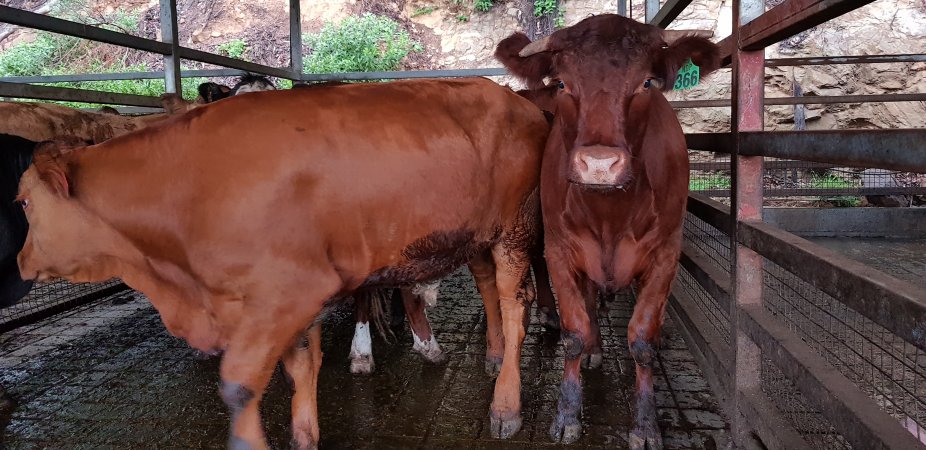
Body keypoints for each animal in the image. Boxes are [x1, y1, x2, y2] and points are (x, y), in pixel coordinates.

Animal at [496, 14, 720, 450]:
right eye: (562, 83)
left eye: (647, 83)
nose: (599, 165)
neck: (610, 215)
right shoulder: (561, 251)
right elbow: (574, 332)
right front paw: (567, 414)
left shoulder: (666, 255)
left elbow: (642, 341)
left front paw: (646, 425)